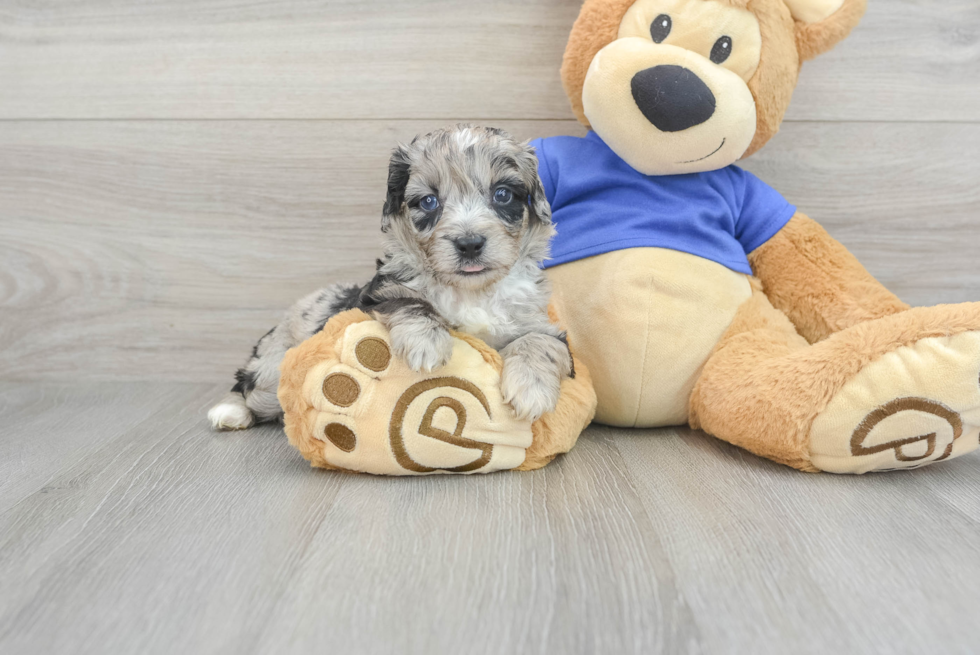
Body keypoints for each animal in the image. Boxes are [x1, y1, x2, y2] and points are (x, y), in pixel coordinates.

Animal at [208, 124, 576, 430]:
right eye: (428, 201)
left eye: (502, 194)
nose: (469, 244)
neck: (471, 291)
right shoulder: (377, 293)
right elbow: (409, 301)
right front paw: (427, 343)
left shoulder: (543, 326)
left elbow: (540, 342)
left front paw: (531, 390)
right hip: (272, 371)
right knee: (247, 384)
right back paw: (229, 412)